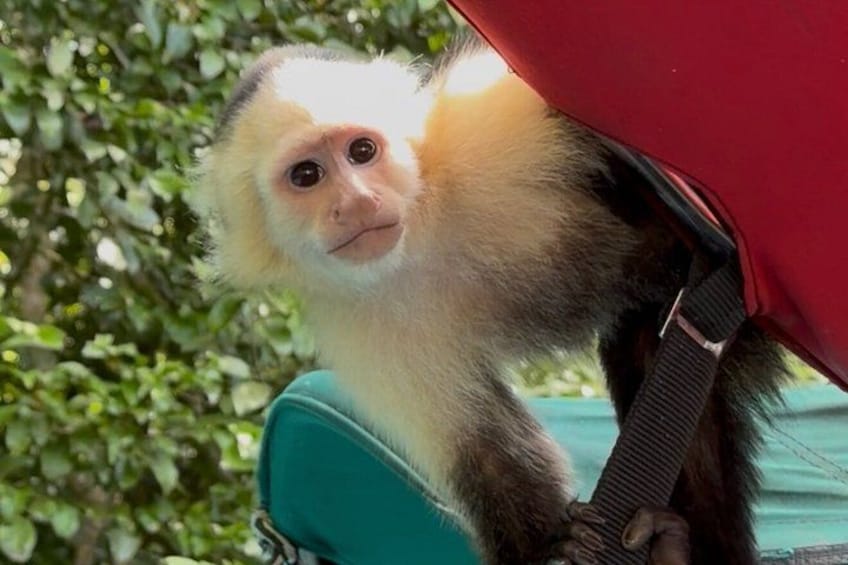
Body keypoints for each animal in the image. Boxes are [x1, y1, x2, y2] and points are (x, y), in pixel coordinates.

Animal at [191, 40, 786, 565]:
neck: (423, 237)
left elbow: (593, 133)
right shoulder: (359, 323)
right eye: (306, 175)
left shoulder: (477, 131)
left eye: (362, 151)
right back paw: (674, 551)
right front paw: (555, 546)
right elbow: (489, 456)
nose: (356, 202)